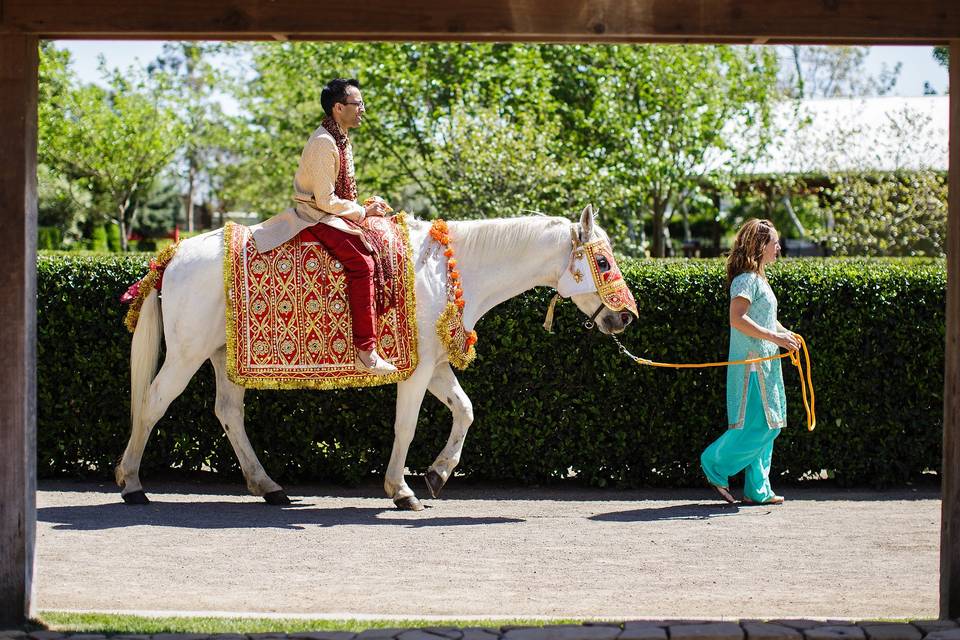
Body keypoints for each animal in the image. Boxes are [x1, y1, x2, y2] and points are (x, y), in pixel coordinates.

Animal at [116, 205, 632, 510]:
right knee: (153, 403)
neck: (445, 268)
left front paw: (438, 474)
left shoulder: (437, 367)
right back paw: (132, 483)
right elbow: (406, 425)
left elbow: (465, 411)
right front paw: (402, 490)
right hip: (185, 355)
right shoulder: (417, 370)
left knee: (228, 412)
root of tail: (172, 254)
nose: (625, 316)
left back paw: (268, 486)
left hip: (224, 356)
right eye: (603, 262)